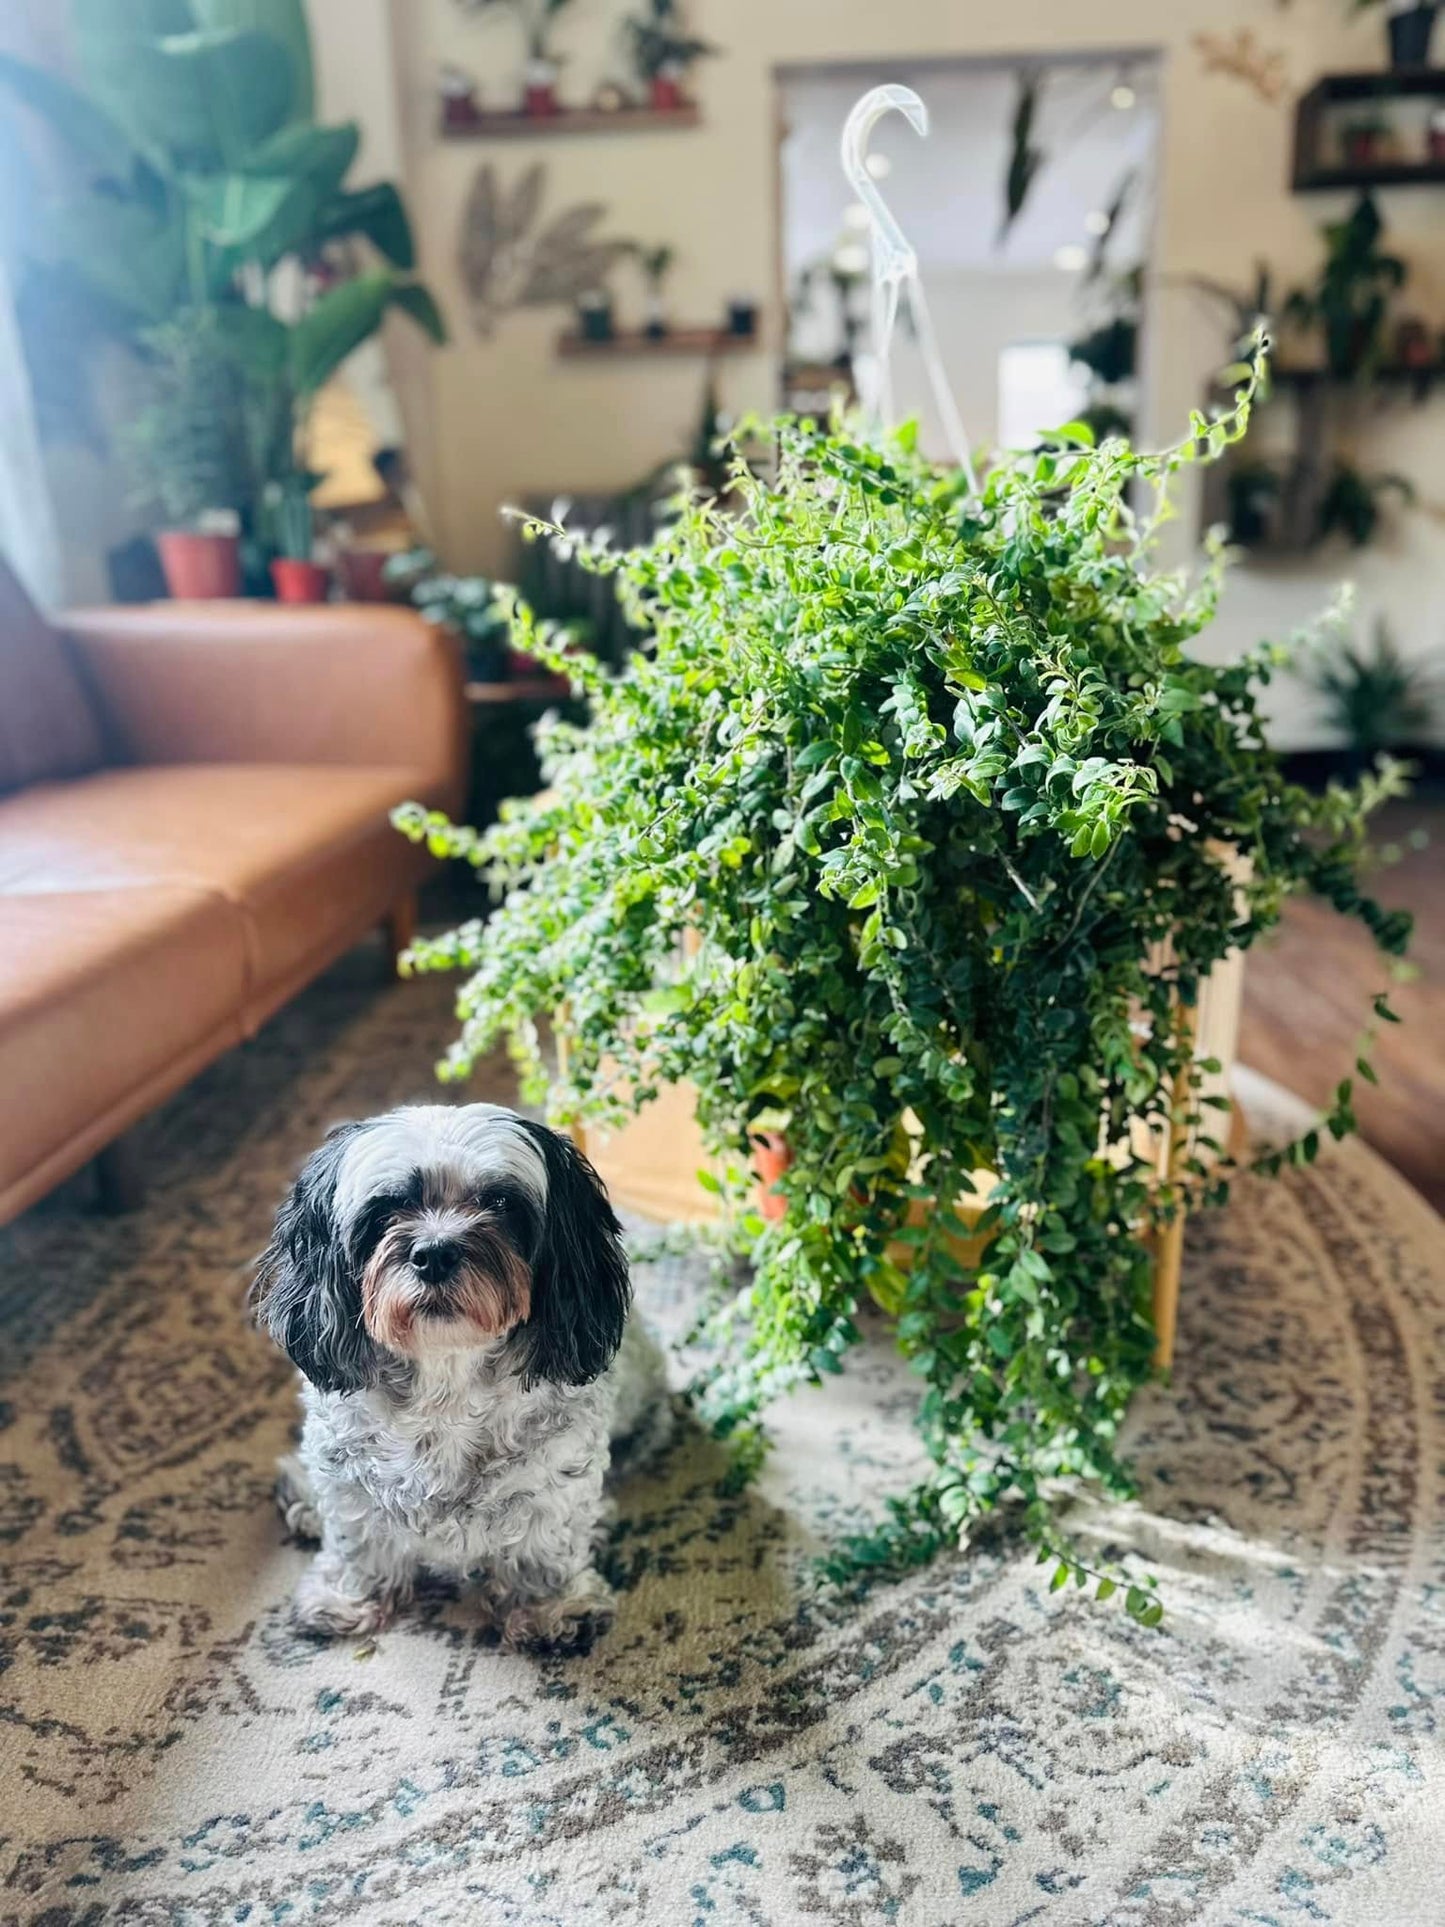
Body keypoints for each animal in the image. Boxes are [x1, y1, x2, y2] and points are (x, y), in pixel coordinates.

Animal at [252, 1109, 666, 1649]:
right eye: (388, 1209)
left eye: (499, 1203)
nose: (435, 1253)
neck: (445, 1380)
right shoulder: (348, 1477)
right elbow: (357, 1541)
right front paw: (349, 1597)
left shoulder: (551, 1477)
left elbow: (542, 1546)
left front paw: (549, 1608)